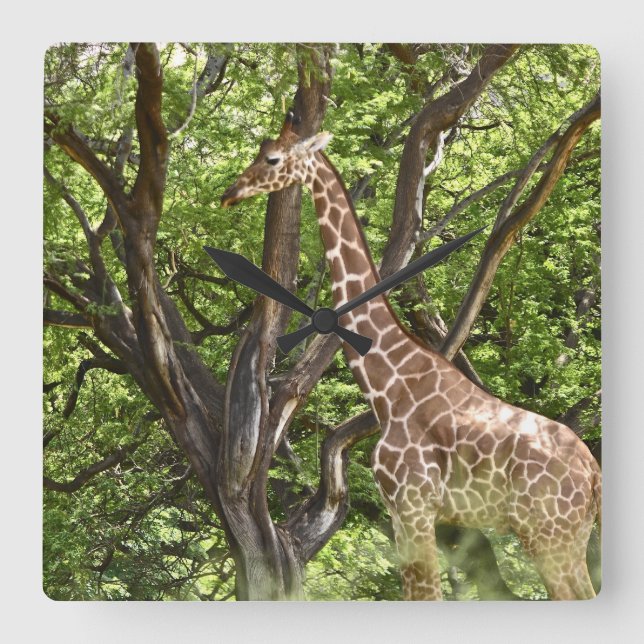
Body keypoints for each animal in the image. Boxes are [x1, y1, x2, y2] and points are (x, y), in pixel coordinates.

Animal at [220, 115, 602, 600]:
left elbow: (428, 592)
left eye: (272, 158)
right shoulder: (401, 513)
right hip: (565, 535)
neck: (387, 385)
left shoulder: (415, 504)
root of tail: (594, 476)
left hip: (550, 534)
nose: (230, 193)